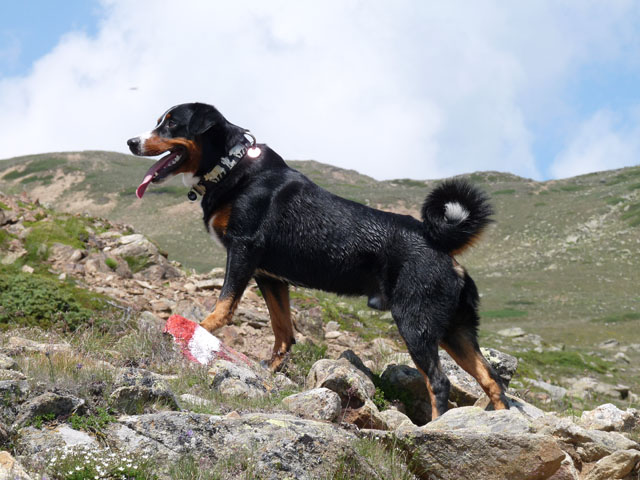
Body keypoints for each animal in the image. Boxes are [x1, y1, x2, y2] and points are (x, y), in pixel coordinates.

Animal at [127, 102, 508, 418]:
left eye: (171, 123)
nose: (131, 142)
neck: (231, 167)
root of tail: (443, 250)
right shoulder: (270, 276)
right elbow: (283, 331)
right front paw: (269, 371)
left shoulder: (242, 251)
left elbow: (222, 307)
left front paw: (194, 333)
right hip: (455, 329)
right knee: (492, 380)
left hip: (417, 323)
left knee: (439, 382)